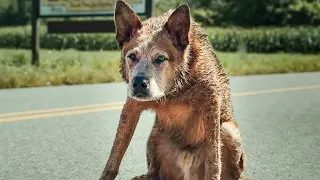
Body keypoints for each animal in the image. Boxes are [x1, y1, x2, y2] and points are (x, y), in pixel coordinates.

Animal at [99, 0, 245, 179]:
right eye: (132, 56)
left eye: (161, 58)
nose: (139, 83)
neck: (174, 92)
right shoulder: (131, 106)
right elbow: (115, 154)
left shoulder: (211, 106)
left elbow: (213, 159)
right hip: (156, 134)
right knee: (154, 170)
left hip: (228, 130)